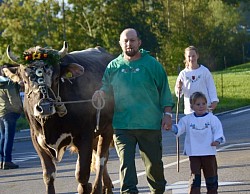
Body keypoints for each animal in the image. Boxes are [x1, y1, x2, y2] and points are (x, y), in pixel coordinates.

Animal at [5, 42, 114, 194]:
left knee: (101, 158)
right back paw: (106, 185)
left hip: (107, 128)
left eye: (56, 78)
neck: (51, 124)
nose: (44, 107)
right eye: (25, 82)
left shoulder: (84, 136)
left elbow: (82, 173)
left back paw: (98, 187)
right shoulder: (37, 140)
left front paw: (86, 187)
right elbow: (49, 175)